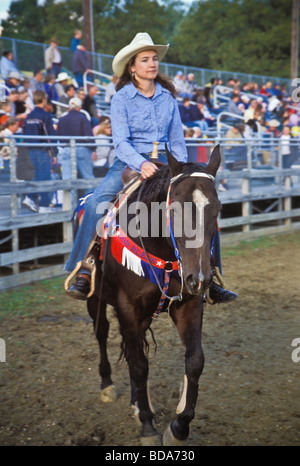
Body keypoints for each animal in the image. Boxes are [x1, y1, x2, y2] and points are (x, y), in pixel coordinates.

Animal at [85, 145, 221, 444]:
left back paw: (137, 402)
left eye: (217, 209)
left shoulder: (189, 303)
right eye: (174, 207)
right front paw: (148, 426)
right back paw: (107, 385)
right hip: (95, 299)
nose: (200, 279)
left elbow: (195, 361)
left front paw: (179, 427)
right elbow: (139, 366)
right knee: (102, 333)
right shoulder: (127, 307)